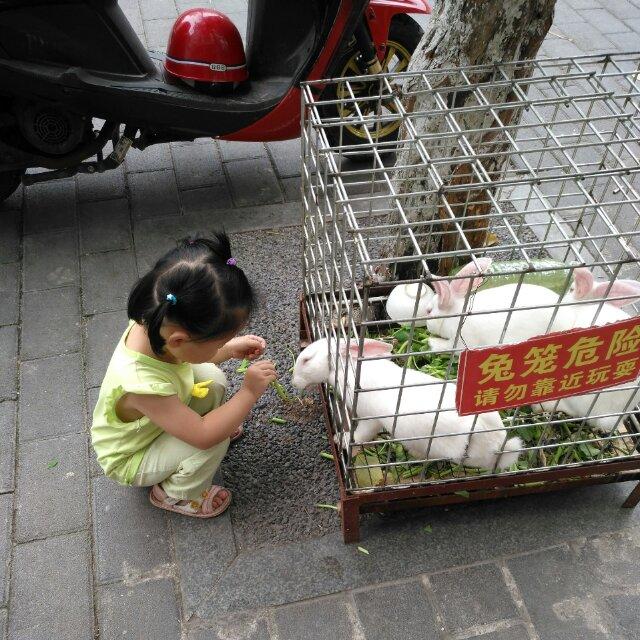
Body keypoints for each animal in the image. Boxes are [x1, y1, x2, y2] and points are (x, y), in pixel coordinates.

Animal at [292, 338, 524, 468]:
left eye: (307, 360)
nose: (294, 382)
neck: (345, 368)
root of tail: (500, 445)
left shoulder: (371, 418)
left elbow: (361, 434)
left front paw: (342, 439)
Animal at [424, 258, 560, 352]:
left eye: (429, 311)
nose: (427, 327)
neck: (455, 313)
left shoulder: (461, 341)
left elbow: (448, 346)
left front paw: (431, 342)